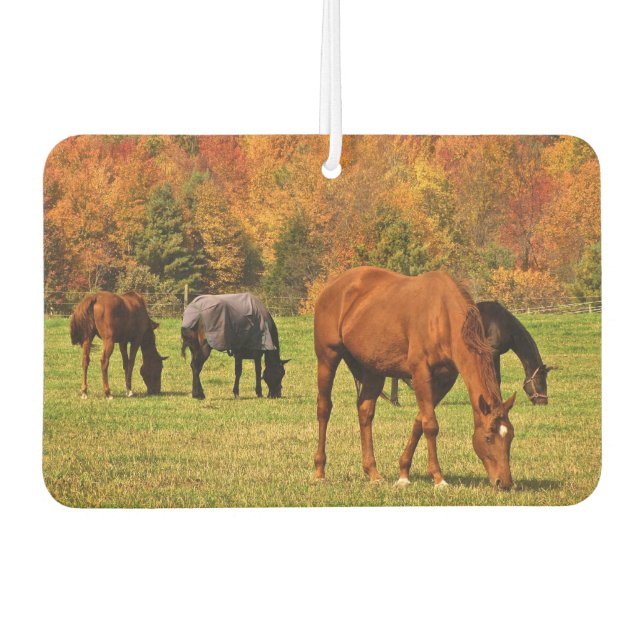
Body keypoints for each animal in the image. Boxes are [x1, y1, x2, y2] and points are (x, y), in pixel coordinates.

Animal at [314, 266, 517, 490]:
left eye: (510, 436)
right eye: (488, 437)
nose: (504, 482)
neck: (441, 316)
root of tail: (332, 286)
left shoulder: (445, 379)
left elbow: (420, 421)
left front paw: (403, 473)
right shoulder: (420, 373)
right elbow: (430, 425)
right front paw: (438, 478)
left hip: (374, 370)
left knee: (365, 411)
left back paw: (373, 473)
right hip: (327, 357)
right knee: (324, 408)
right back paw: (319, 471)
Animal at [388, 300, 553, 405]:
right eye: (540, 380)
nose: (543, 402)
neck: (502, 323)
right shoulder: (493, 352)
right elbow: (496, 378)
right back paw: (396, 401)